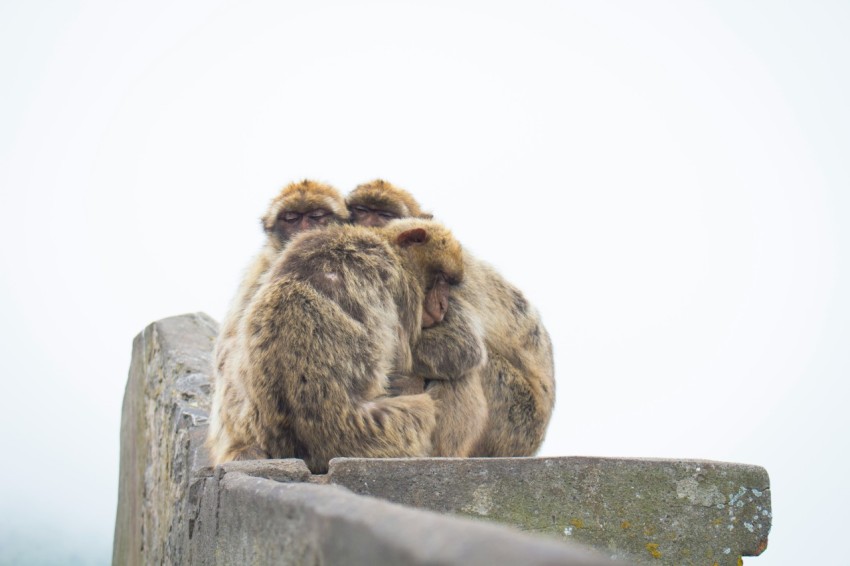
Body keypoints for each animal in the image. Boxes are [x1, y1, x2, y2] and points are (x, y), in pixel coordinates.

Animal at [207, 218, 467, 473]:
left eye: (449, 283)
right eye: (441, 278)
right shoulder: (400, 285)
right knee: (421, 407)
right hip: (376, 432)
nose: (443, 306)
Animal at [346, 180, 555, 457]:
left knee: (474, 366)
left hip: (516, 421)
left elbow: (462, 345)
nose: (441, 304)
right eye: (360, 211)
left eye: (384, 214)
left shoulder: (455, 292)